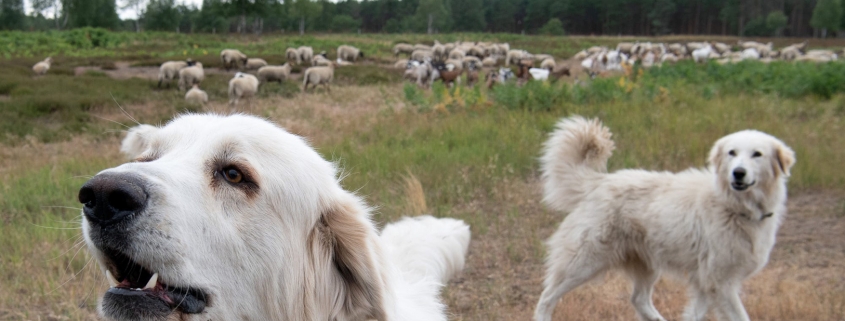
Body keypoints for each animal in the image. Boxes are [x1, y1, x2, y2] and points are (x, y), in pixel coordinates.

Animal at [536, 116, 796, 320]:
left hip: (647, 265)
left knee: (639, 300)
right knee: (546, 298)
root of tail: (599, 181)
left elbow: (693, 315)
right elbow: (740, 317)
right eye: (732, 153)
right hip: (582, 263)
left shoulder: (706, 283)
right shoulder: (720, 284)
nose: (738, 173)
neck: (733, 205)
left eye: (757, 154)